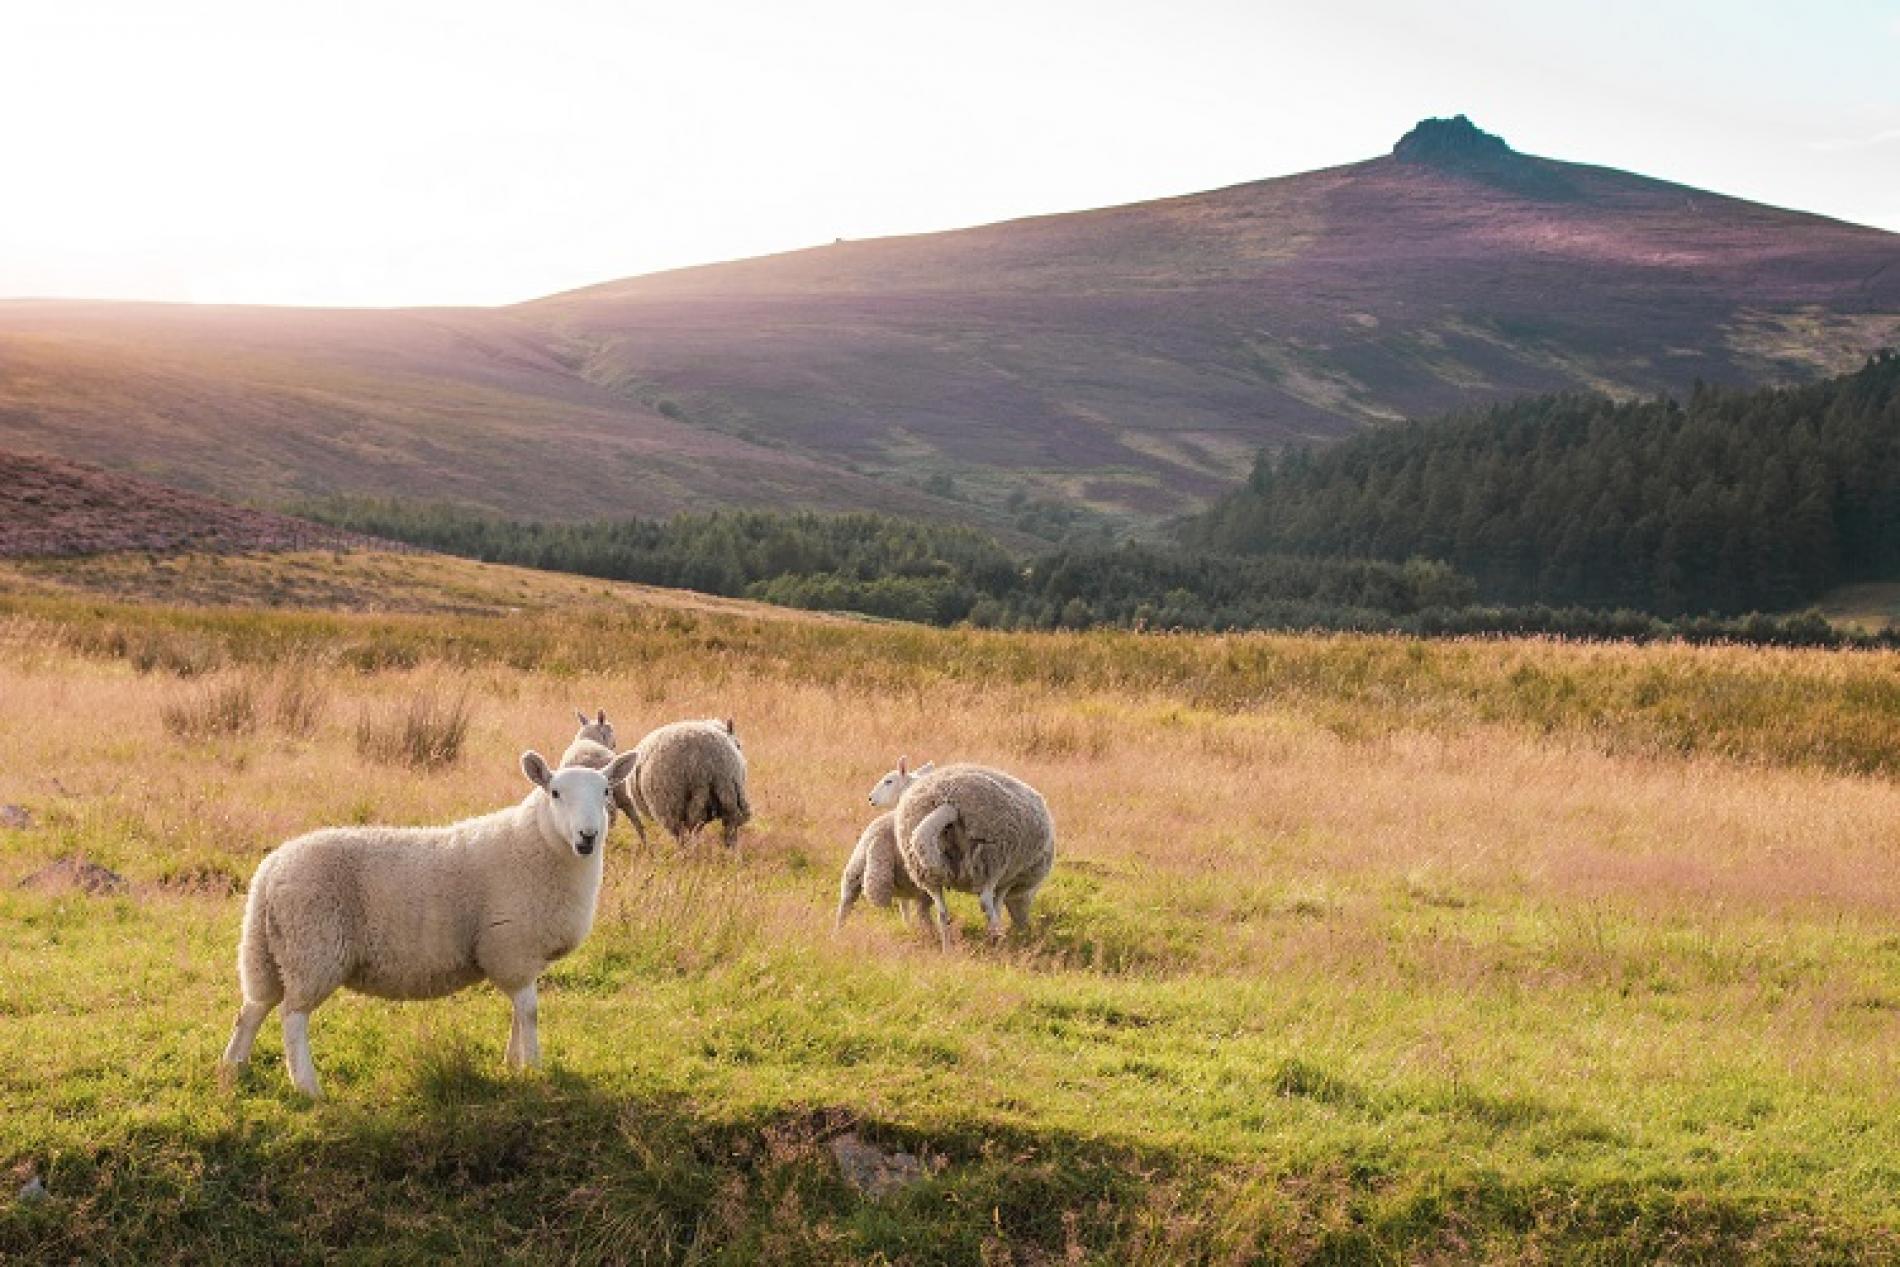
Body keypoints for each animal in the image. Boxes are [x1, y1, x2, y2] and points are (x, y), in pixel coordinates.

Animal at [221, 748, 638, 1094]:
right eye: (555, 793)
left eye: (605, 792)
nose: (588, 836)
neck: (539, 844)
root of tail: (271, 869)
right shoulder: (511, 947)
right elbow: (530, 1013)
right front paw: (533, 1069)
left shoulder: (520, 956)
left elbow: (519, 1013)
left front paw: (511, 1063)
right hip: (313, 948)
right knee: (292, 1017)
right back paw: (307, 1087)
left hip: (268, 950)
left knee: (252, 1009)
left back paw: (233, 1069)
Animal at [870, 752, 1056, 949]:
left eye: (888, 781)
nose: (870, 798)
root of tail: (947, 801)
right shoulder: (1008, 879)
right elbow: (998, 905)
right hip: (989, 860)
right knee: (986, 903)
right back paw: (997, 940)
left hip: (930, 874)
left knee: (943, 913)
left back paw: (949, 948)